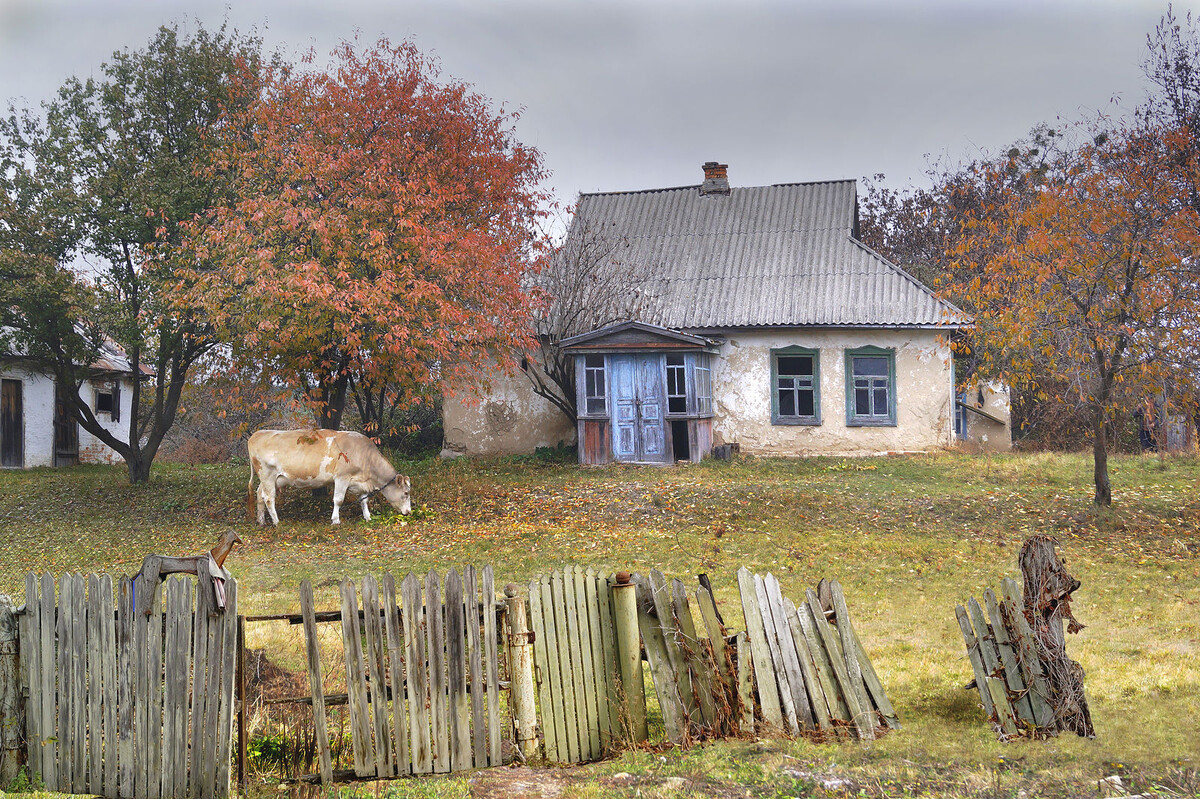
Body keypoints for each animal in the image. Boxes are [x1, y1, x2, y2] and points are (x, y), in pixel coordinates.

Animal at [247, 427, 412, 525]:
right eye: (406, 493)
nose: (409, 512)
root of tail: (257, 434)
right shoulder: (341, 477)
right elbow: (338, 500)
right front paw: (336, 520)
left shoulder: (359, 482)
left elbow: (364, 500)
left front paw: (367, 517)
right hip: (267, 474)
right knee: (269, 498)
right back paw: (277, 522)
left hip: (274, 479)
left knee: (260, 494)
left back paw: (261, 521)